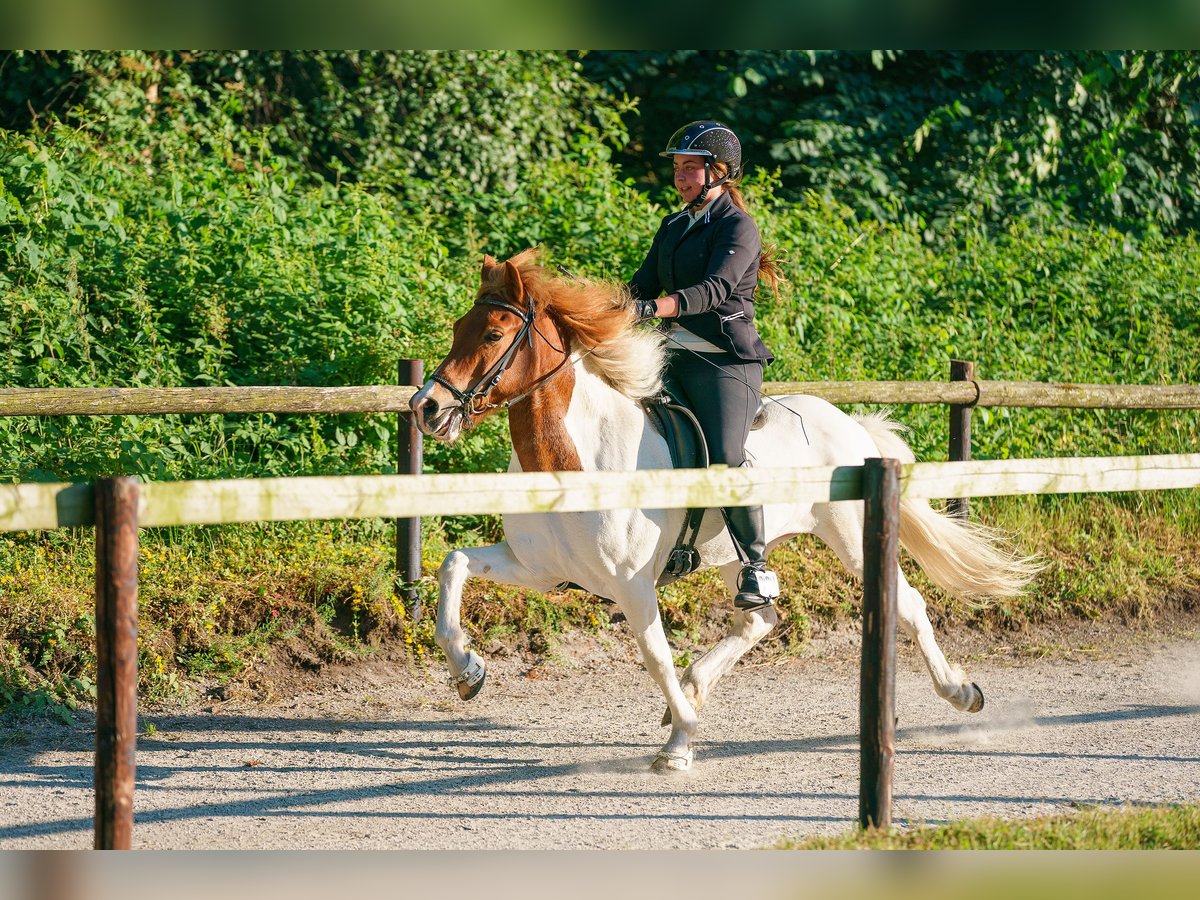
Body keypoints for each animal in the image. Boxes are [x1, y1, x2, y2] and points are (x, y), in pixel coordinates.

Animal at [408, 250, 1036, 772]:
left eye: (493, 333)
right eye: (459, 329)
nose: (426, 408)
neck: (575, 458)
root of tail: (848, 422)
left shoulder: (632, 584)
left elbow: (654, 655)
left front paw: (680, 743)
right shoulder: (541, 569)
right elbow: (453, 564)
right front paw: (467, 671)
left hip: (852, 535)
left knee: (907, 605)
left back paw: (962, 692)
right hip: (741, 552)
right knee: (759, 616)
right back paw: (696, 687)